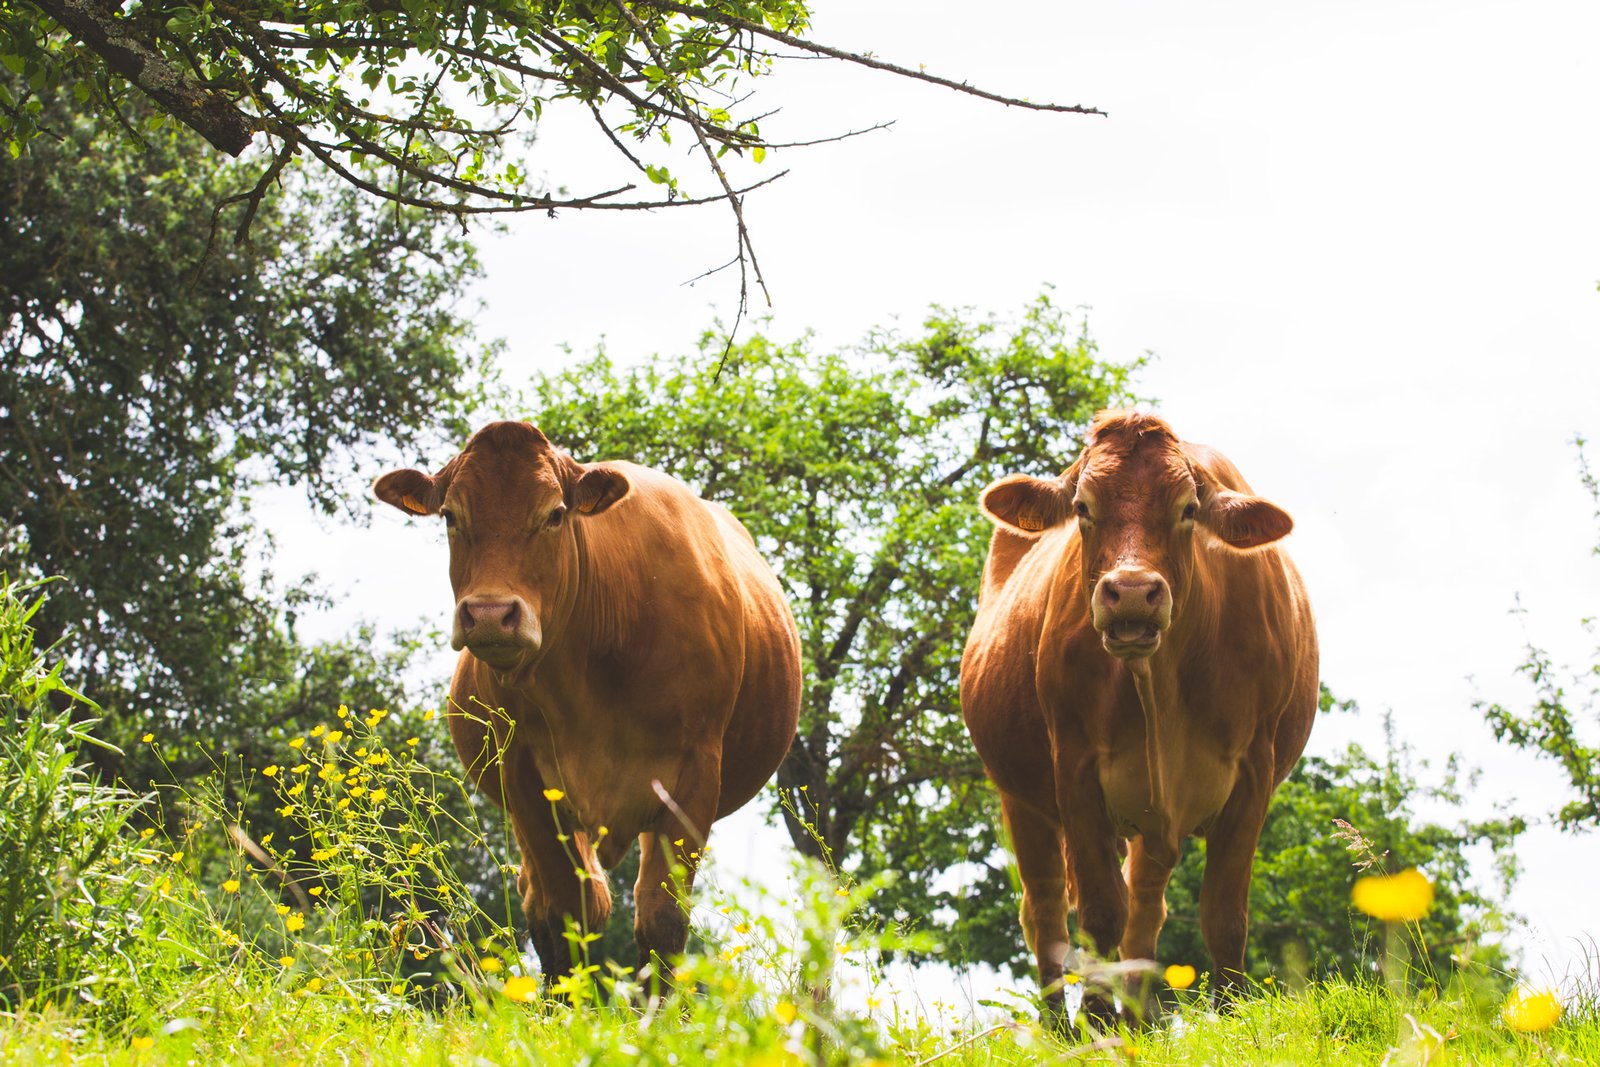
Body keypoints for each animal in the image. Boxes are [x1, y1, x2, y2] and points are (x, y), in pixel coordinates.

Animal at [374, 421, 801, 985]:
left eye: (555, 514)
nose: (489, 614)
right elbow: (570, 910)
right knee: (543, 900)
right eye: (450, 515)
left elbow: (663, 919)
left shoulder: (696, 774)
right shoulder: (525, 777)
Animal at [960, 410, 1317, 1026]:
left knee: (1147, 907)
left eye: (1189, 509)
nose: (1130, 593)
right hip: (1020, 796)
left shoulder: (1254, 773)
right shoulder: (1074, 770)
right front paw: (1098, 1020)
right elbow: (1101, 911)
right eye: (1083, 507)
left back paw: (1140, 1020)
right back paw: (1060, 1026)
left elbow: (1223, 914)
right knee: (1046, 908)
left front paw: (1231, 1017)